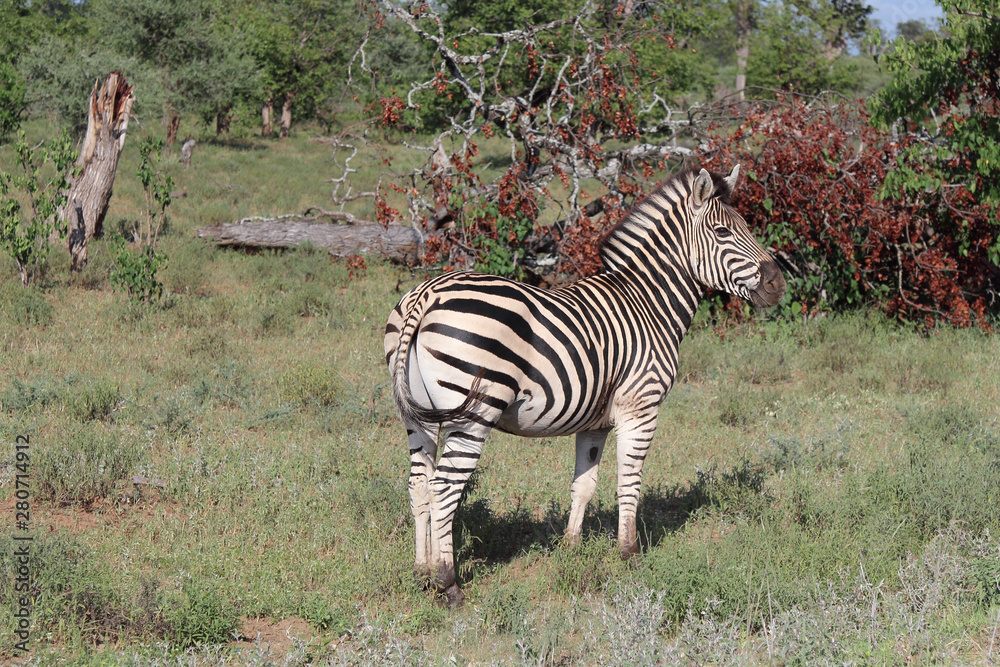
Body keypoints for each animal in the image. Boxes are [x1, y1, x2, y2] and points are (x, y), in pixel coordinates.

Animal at [384, 165, 785, 605]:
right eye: (722, 232)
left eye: (746, 226)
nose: (778, 285)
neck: (649, 304)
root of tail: (427, 292)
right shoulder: (641, 408)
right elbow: (629, 483)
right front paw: (629, 555)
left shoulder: (594, 423)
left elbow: (584, 485)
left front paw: (571, 550)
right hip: (472, 414)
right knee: (443, 489)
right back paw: (448, 582)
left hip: (418, 418)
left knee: (419, 486)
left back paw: (422, 572)